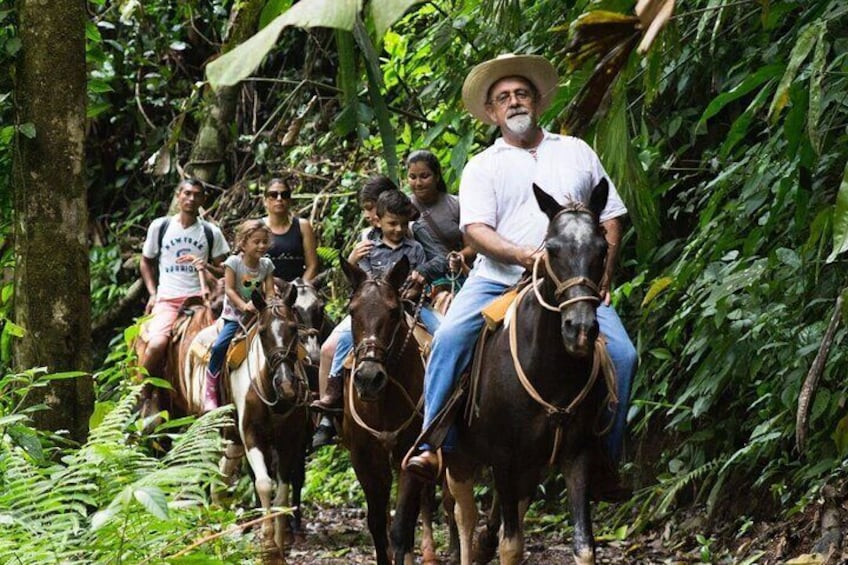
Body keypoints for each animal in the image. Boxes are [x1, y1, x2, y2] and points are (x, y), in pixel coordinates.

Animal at [340, 258, 440, 564]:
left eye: (394, 311)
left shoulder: (410, 453)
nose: (368, 377)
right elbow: (376, 524)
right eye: (352, 311)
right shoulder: (363, 458)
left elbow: (400, 527)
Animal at [448, 182, 612, 564]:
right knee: (466, 514)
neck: (550, 371)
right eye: (551, 249)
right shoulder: (503, 455)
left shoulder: (576, 452)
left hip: (530, 464)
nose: (580, 329)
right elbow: (511, 545)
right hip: (458, 455)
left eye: (602, 248)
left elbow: (584, 546)